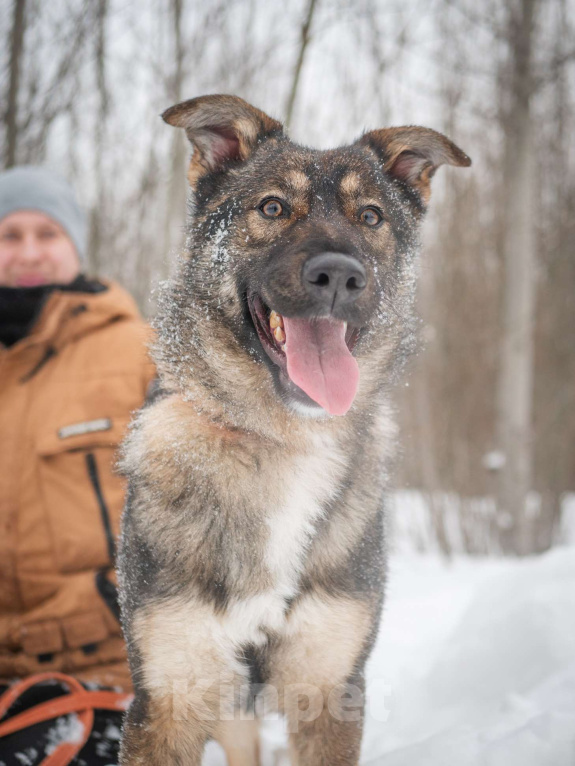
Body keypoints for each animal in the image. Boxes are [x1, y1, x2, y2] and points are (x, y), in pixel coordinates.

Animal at [118, 93, 472, 764]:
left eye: (371, 216)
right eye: (273, 207)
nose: (339, 276)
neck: (285, 441)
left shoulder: (331, 688)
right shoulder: (171, 695)